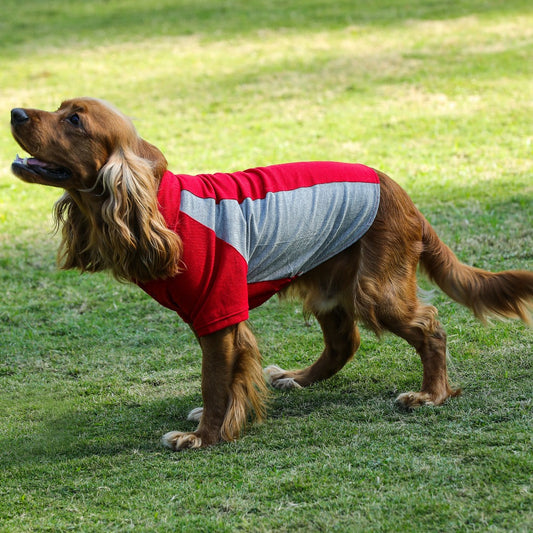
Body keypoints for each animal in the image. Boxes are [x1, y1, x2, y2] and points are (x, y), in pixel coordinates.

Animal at [9, 96, 532, 448]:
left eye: (74, 119)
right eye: (60, 108)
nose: (14, 112)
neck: (162, 208)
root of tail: (403, 194)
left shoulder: (217, 313)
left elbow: (215, 381)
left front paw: (204, 437)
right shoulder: (225, 315)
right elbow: (233, 378)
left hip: (374, 290)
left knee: (429, 326)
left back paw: (431, 395)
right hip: (329, 283)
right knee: (344, 343)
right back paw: (298, 378)